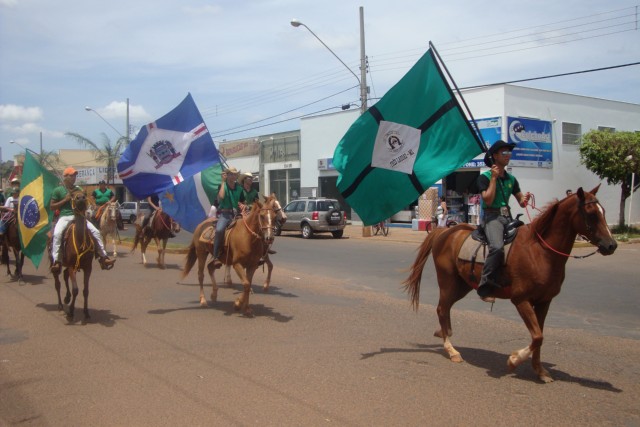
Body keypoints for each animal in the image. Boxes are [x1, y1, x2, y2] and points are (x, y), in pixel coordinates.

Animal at [402, 186, 616, 384]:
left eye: (603, 211)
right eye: (591, 213)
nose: (611, 245)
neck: (540, 251)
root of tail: (445, 231)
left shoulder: (544, 302)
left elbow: (539, 336)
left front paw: (540, 371)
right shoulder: (521, 300)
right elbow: (537, 337)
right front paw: (514, 360)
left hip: (462, 285)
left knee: (445, 310)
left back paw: (443, 333)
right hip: (448, 282)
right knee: (441, 309)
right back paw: (451, 350)